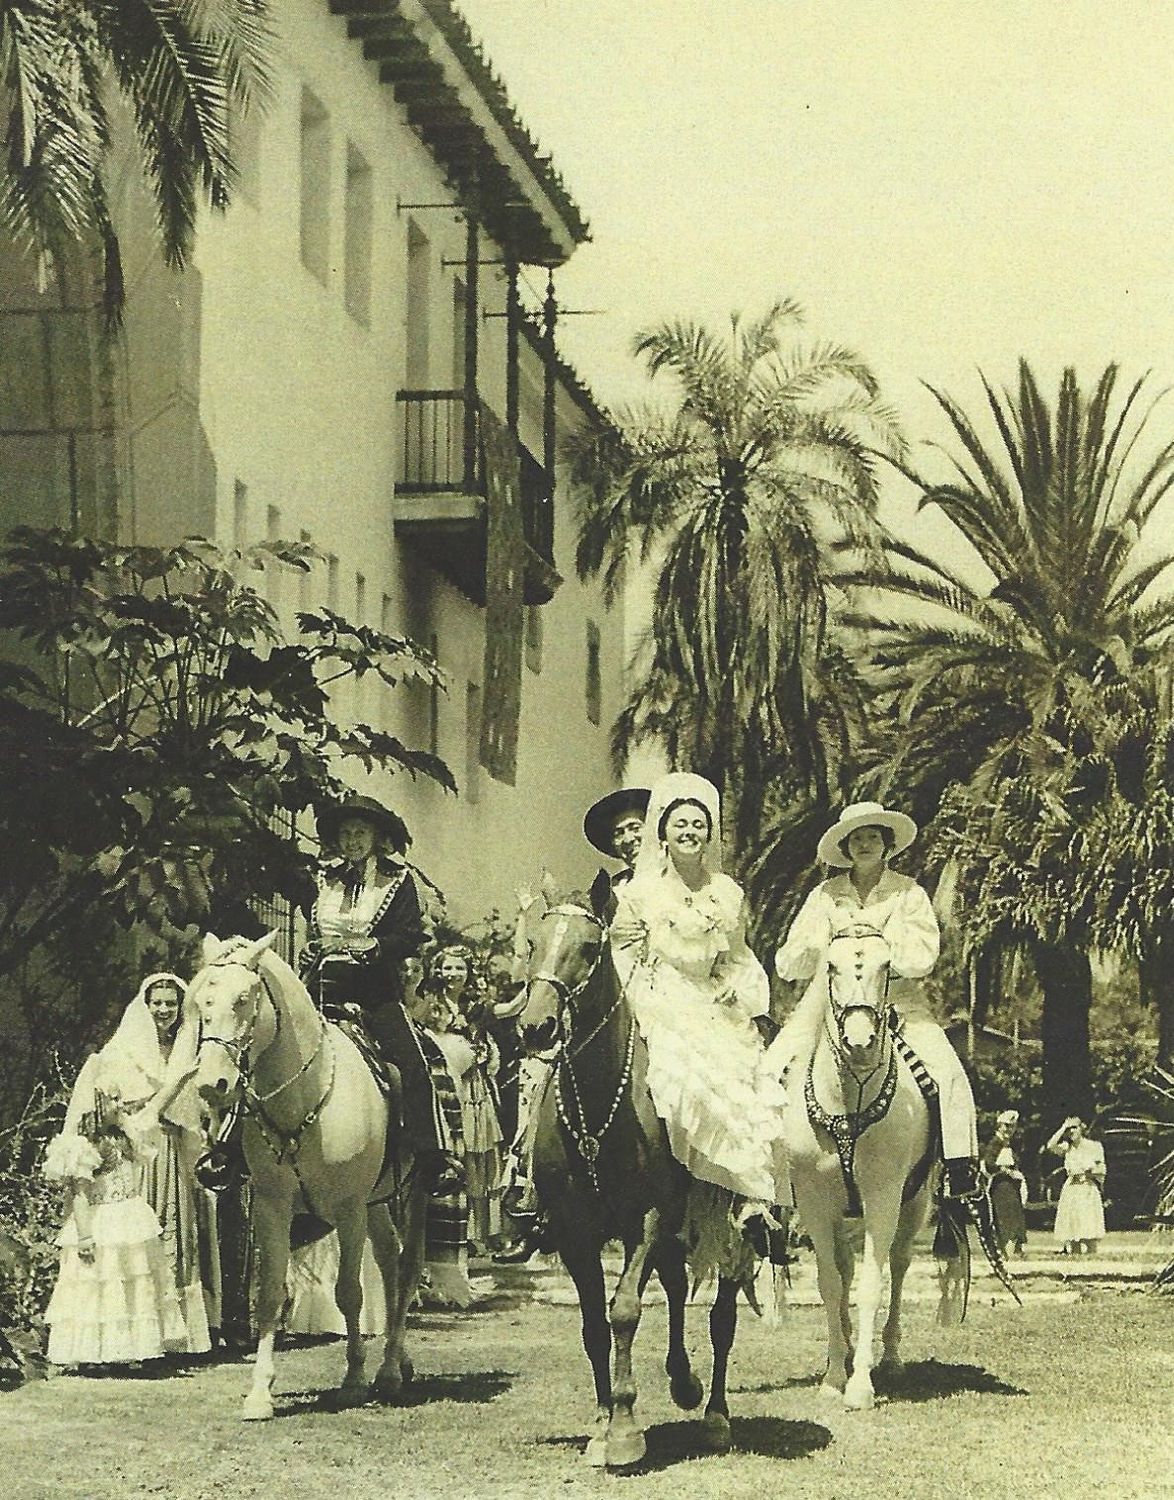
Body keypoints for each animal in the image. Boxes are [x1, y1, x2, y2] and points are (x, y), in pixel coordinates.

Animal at [190, 936, 428, 1416]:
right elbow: (268, 1295)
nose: (212, 1084)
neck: (305, 1096)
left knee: (407, 1268)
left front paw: (354, 1379)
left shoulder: (349, 1209)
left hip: (413, 1194)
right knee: (390, 1262)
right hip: (377, 1201)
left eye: (243, 999)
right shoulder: (273, 1206)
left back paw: (388, 1371)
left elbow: (349, 1292)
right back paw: (399, 1363)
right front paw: (260, 1393)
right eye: (202, 1002)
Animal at [506, 894, 743, 1470]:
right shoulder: (575, 1231)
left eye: (591, 948)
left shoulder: (648, 1219)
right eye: (532, 944)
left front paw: (626, 1430)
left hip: (730, 1230)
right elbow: (595, 1323)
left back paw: (715, 1417)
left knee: (721, 1318)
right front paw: (600, 1425)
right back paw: (683, 1381)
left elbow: (626, 1312)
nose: (537, 1026)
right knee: (677, 1289)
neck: (599, 1112)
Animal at [779, 918, 947, 1410]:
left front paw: (860, 1386)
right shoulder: (815, 1203)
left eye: (886, 965)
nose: (859, 1041)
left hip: (915, 1205)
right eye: (831, 967)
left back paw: (887, 1357)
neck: (847, 1105)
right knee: (844, 1267)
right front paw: (835, 1375)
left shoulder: (883, 1197)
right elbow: (831, 1283)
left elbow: (872, 1285)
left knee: (899, 1265)